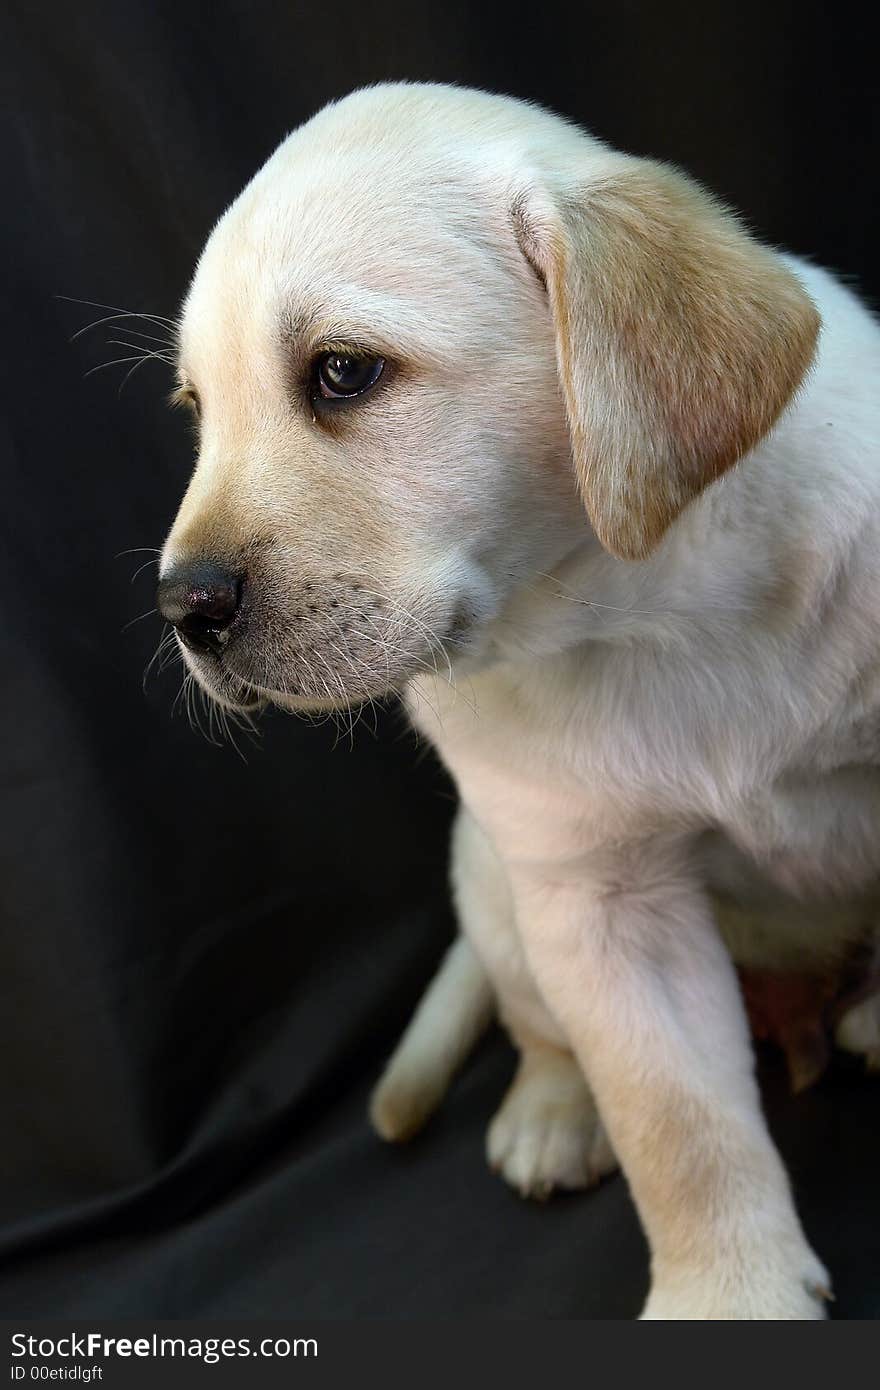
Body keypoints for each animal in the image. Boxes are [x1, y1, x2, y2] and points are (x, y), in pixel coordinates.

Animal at [157, 81, 878, 1317]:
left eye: (342, 373)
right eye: (198, 408)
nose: (180, 605)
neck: (643, 606)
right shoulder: (599, 903)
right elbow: (678, 1127)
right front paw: (727, 1296)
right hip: (496, 880)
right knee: (545, 1034)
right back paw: (549, 1115)